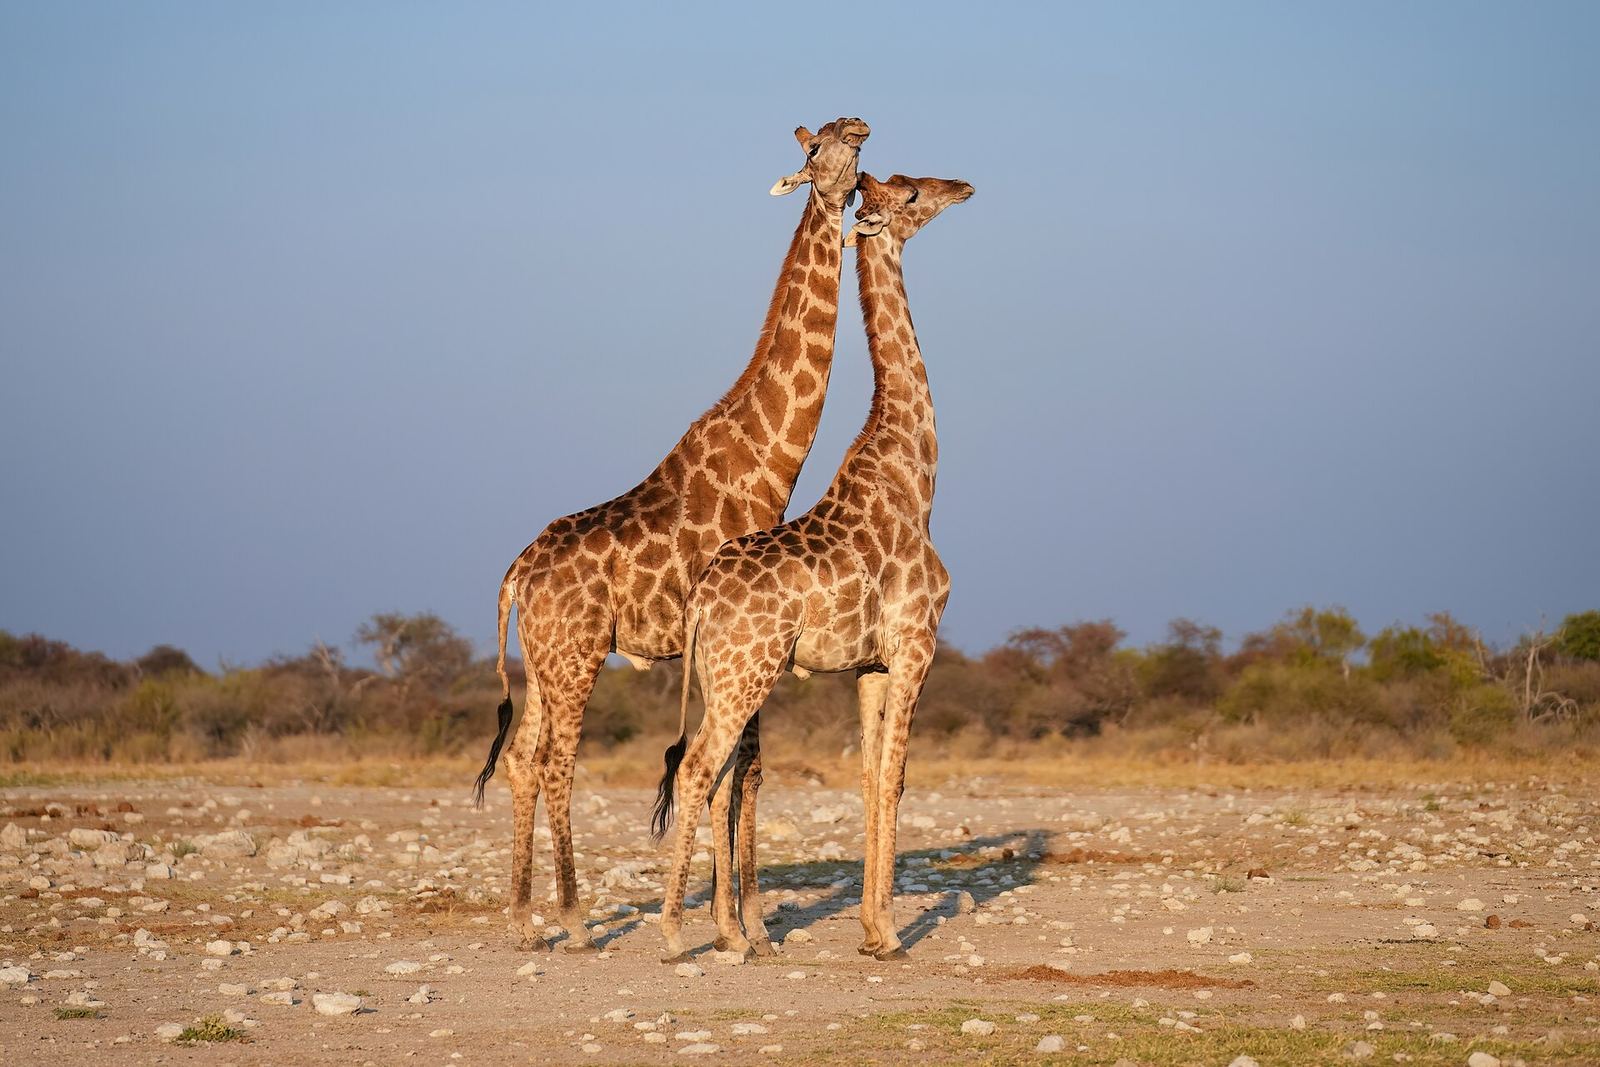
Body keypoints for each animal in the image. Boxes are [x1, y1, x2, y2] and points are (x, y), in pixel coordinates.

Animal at [472, 117, 870, 953]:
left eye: (853, 146)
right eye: (817, 151)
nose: (859, 128)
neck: (770, 462)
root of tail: (516, 575)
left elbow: (739, 770)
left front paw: (739, 918)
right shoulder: (746, 635)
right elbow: (742, 768)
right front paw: (741, 927)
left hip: (540, 660)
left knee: (521, 758)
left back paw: (523, 919)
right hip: (578, 652)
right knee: (555, 762)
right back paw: (574, 919)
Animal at [654, 172, 974, 962]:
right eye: (913, 193)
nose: (963, 186)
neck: (917, 476)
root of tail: (700, 599)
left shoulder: (870, 664)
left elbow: (870, 778)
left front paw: (871, 929)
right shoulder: (916, 644)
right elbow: (896, 777)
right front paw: (891, 935)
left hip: (722, 677)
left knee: (715, 773)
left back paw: (730, 934)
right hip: (746, 673)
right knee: (699, 769)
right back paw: (678, 934)